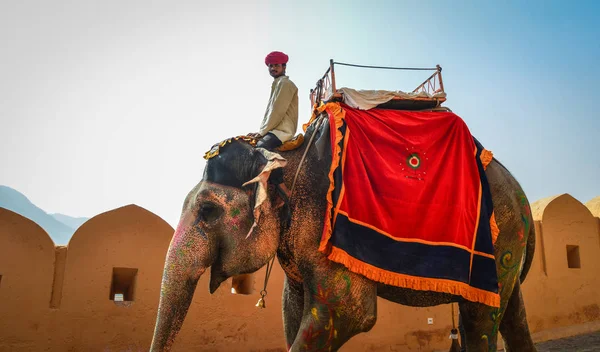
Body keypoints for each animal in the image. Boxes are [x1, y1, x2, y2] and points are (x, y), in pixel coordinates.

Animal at [150, 102, 540, 352]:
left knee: (479, 322)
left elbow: (348, 312)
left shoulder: (326, 223)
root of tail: (519, 189)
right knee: (511, 317)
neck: (287, 160)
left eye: (208, 211)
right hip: (509, 243)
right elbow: (292, 308)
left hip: (501, 234)